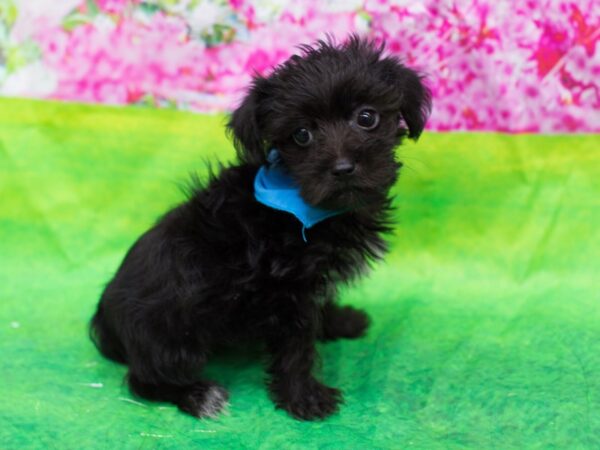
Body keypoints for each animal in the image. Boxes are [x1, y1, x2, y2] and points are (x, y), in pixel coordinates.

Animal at [89, 36, 428, 422]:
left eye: (366, 117)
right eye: (301, 135)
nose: (343, 168)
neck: (304, 207)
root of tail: (106, 322)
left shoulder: (308, 284)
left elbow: (318, 309)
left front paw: (340, 322)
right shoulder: (286, 293)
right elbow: (296, 346)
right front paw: (304, 397)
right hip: (172, 337)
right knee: (142, 379)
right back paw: (197, 395)